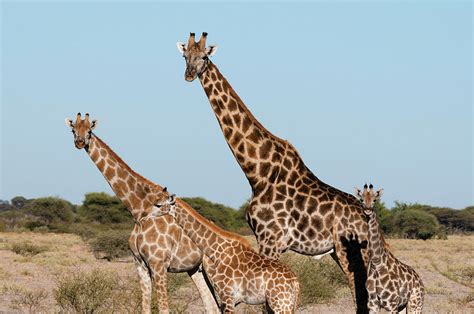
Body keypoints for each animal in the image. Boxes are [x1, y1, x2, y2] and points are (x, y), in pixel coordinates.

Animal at [65, 113, 218, 314]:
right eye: (73, 130)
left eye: (89, 130)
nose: (80, 142)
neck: (138, 210)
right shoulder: (140, 264)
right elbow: (145, 307)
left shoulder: (158, 264)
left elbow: (164, 309)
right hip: (196, 269)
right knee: (211, 306)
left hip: (214, 271)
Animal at [148, 193, 300, 312]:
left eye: (158, 205)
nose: (146, 216)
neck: (217, 250)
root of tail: (295, 282)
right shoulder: (229, 299)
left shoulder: (227, 296)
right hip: (280, 303)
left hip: (281, 303)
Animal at [178, 31, 370, 312]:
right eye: (185, 56)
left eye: (204, 57)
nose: (189, 75)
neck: (258, 171)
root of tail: (368, 217)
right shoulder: (263, 239)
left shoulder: (271, 239)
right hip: (339, 251)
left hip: (351, 251)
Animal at [354, 184, 424, 314]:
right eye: (361, 199)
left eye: (375, 200)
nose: (368, 210)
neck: (377, 263)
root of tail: (420, 280)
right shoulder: (373, 304)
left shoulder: (392, 303)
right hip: (403, 306)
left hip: (415, 304)